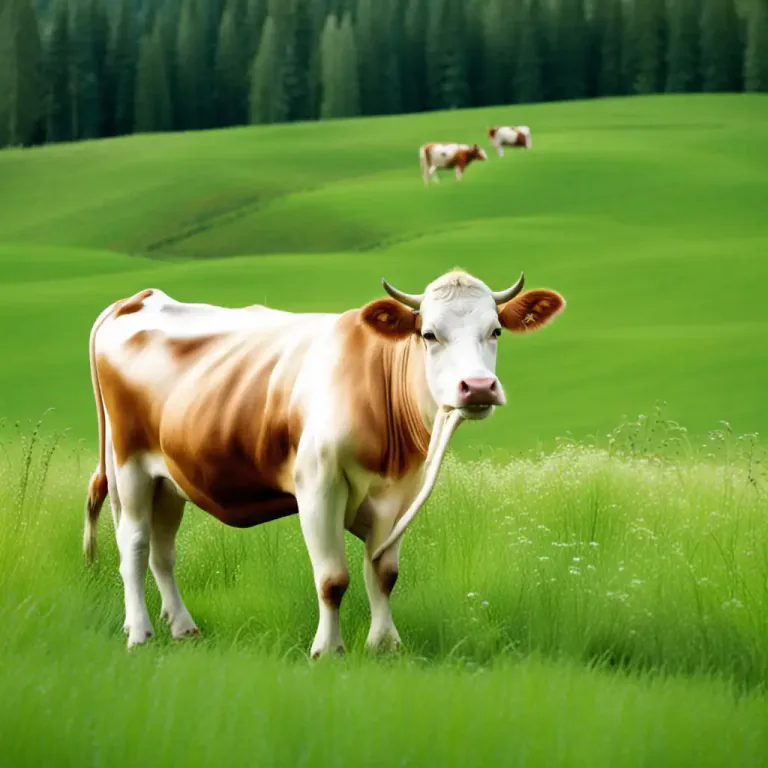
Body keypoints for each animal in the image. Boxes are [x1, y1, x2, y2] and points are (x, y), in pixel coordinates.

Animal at [84, 270, 565, 656]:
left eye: (496, 330)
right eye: (429, 334)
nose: (478, 387)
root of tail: (139, 298)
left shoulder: (398, 494)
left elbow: (384, 572)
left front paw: (385, 643)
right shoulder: (318, 485)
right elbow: (333, 578)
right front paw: (328, 649)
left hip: (169, 477)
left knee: (163, 551)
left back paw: (183, 627)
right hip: (129, 463)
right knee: (134, 544)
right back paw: (140, 633)